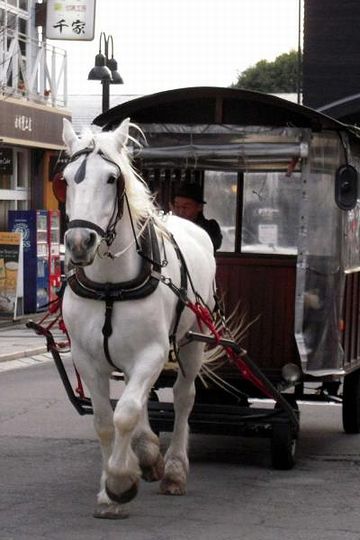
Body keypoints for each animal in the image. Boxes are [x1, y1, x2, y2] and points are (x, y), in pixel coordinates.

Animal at [61, 119, 217, 520]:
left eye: (111, 179)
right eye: (67, 179)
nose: (80, 243)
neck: (110, 286)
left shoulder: (153, 352)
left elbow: (126, 413)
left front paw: (120, 482)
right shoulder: (87, 358)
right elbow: (104, 421)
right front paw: (108, 491)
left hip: (193, 338)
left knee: (183, 397)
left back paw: (174, 468)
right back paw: (147, 452)